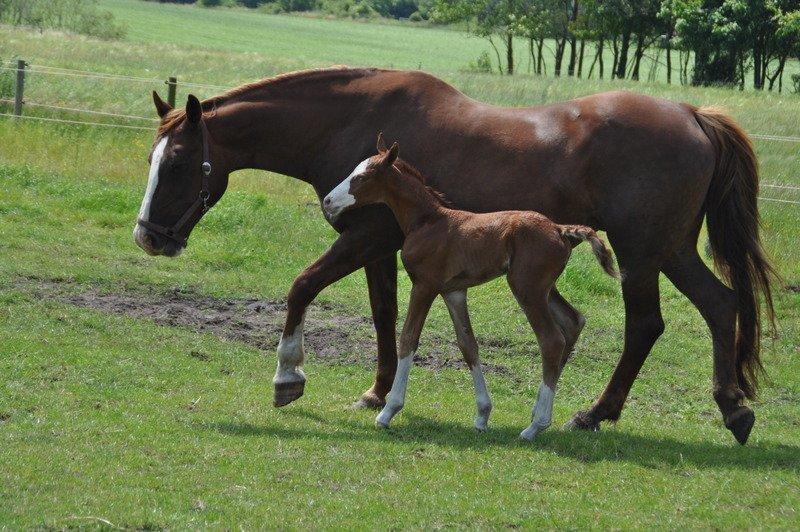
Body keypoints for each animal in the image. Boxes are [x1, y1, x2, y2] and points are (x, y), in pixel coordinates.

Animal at [322, 135, 616, 438]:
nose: (328, 201)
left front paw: (388, 411)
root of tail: (559, 229)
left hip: (527, 288)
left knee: (552, 340)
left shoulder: (424, 285)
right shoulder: (453, 291)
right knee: (572, 322)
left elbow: (408, 339)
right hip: (544, 288)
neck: (427, 221)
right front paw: (482, 415)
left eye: (362, 177)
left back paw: (535, 426)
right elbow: (468, 345)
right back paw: (537, 414)